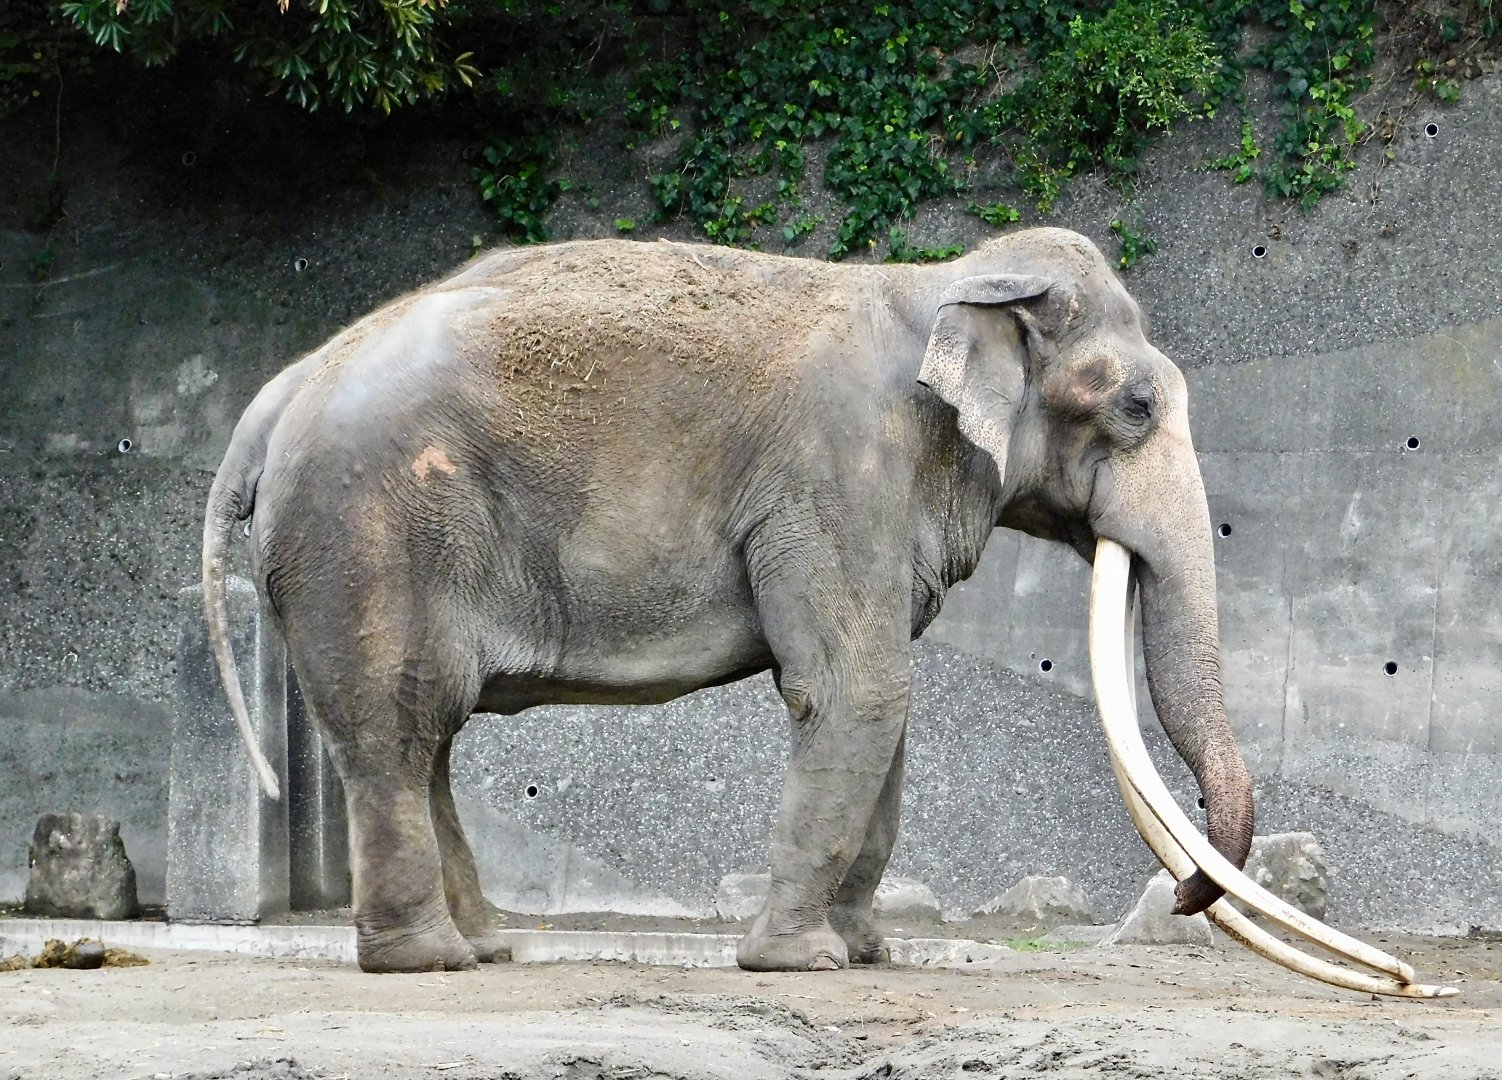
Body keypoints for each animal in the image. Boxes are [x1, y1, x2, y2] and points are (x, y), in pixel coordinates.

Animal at [203, 226, 1254, 975]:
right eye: (1137, 409)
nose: (1186, 896)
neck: (938, 282)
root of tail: (284, 386)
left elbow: (882, 707)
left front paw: (865, 953)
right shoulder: (836, 479)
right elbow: (858, 691)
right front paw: (802, 963)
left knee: (428, 732)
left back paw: (486, 949)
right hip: (368, 532)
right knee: (395, 725)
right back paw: (427, 961)